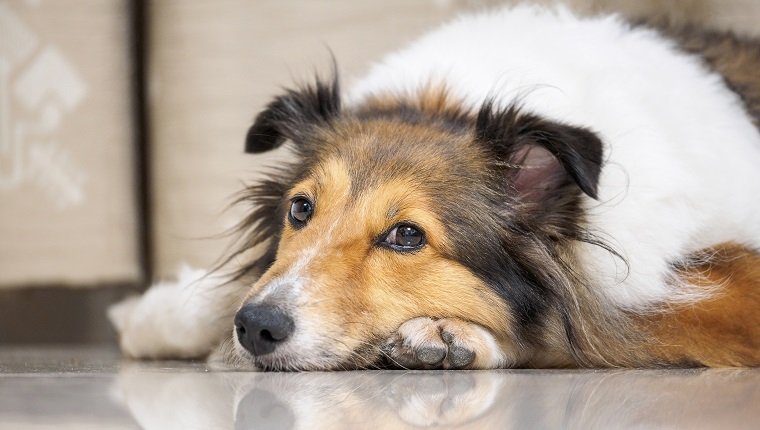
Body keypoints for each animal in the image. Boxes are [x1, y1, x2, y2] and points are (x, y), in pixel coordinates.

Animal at [110, 5, 760, 370]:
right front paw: (152, 313)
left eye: (406, 235)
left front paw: (451, 334)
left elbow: (594, 332)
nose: (257, 328)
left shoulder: (723, 280)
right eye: (300, 208)